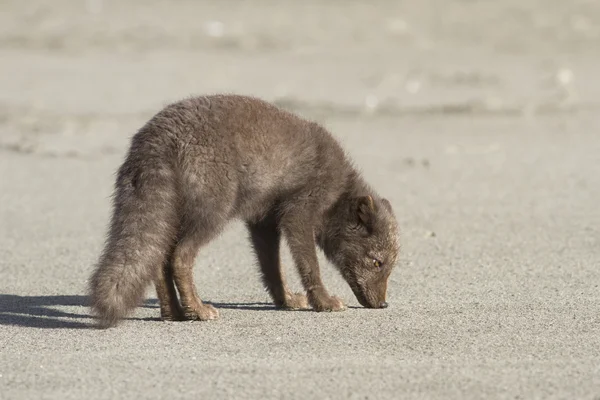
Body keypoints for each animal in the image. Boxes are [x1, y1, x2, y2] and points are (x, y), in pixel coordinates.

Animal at [89, 94, 398, 328]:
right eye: (377, 262)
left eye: (390, 266)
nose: (384, 304)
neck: (339, 192)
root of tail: (156, 140)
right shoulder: (298, 215)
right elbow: (309, 266)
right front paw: (324, 302)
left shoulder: (263, 222)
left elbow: (272, 269)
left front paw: (287, 301)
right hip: (212, 213)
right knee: (179, 257)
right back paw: (198, 310)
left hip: (171, 215)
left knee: (159, 260)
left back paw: (173, 313)